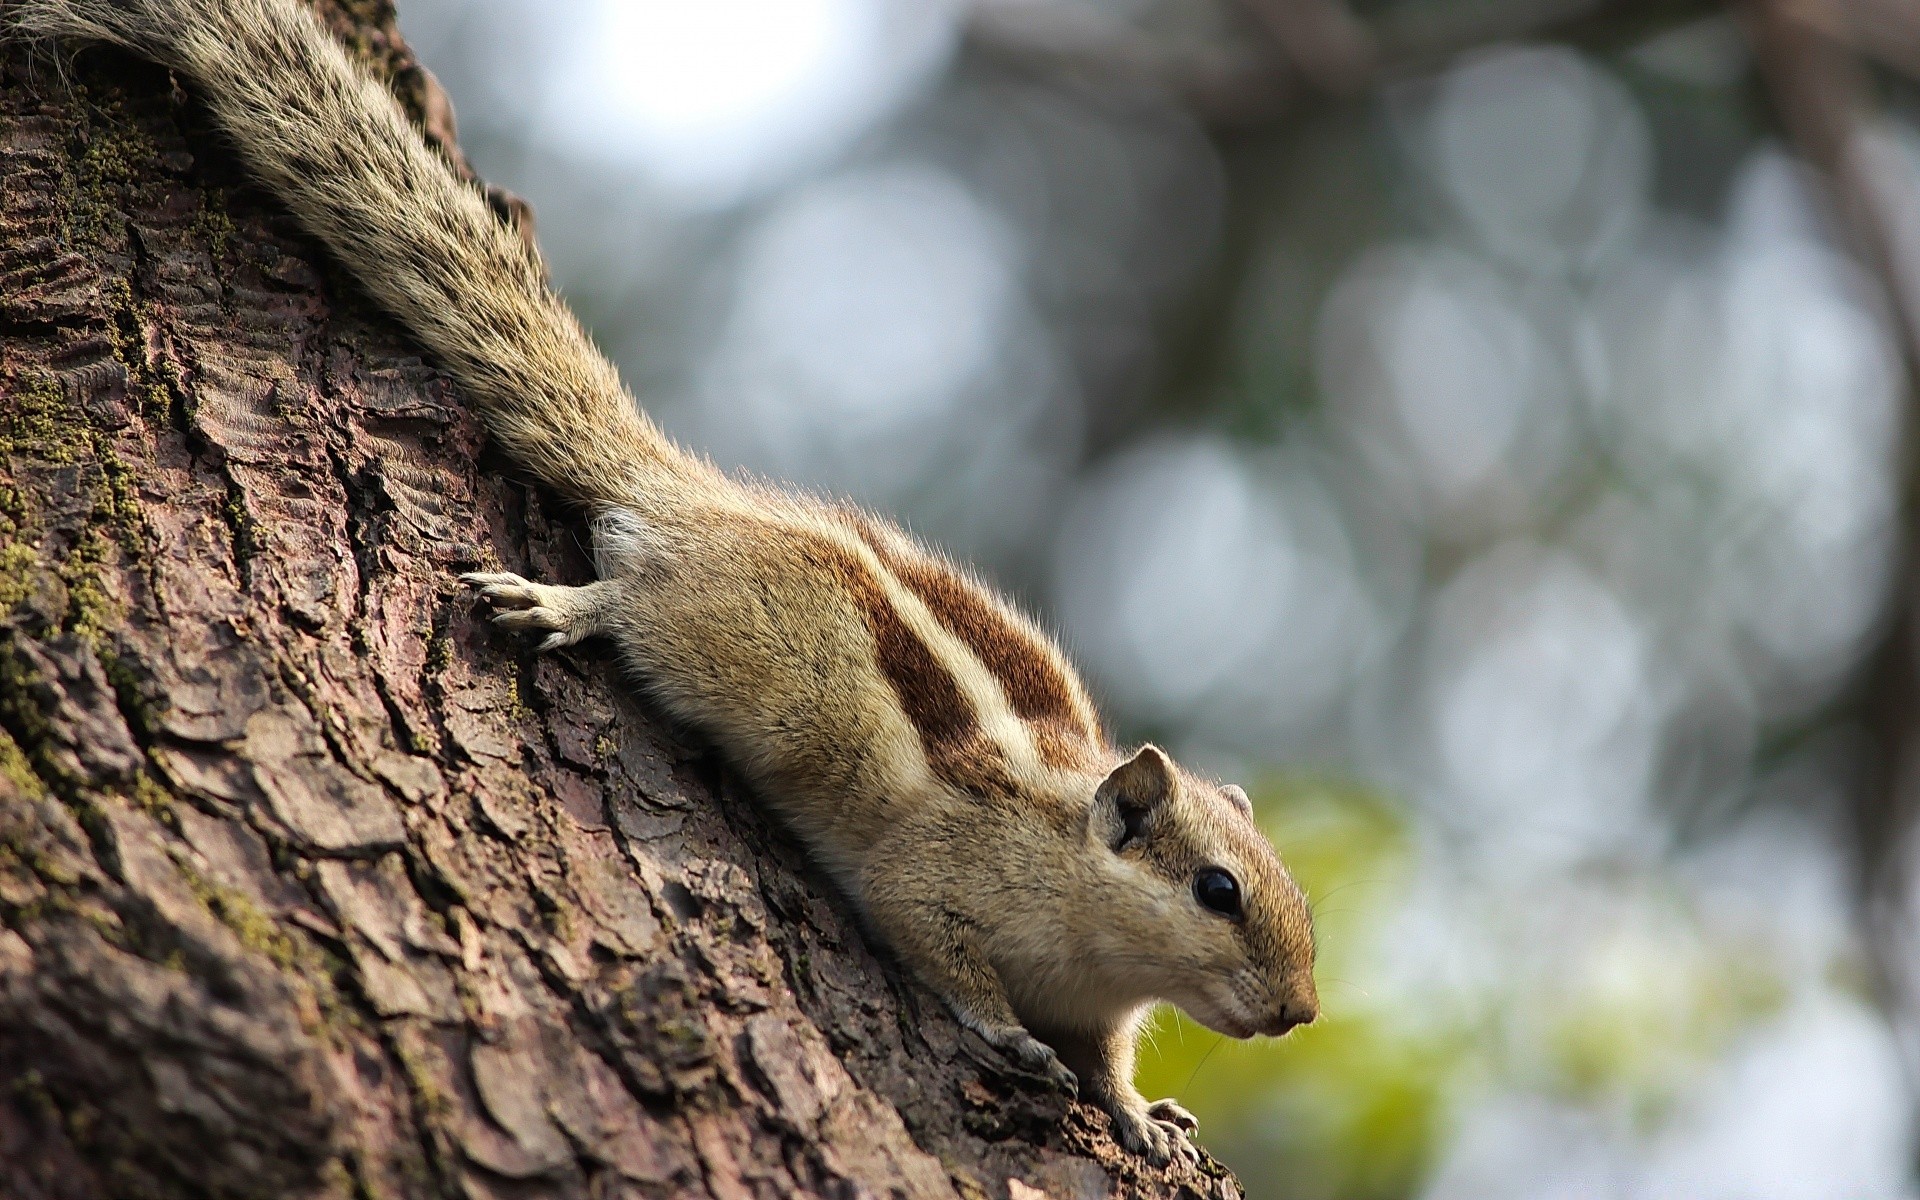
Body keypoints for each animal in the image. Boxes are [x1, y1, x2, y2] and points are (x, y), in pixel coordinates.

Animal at [7, 0, 1320, 1167]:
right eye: (1216, 890)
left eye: (1289, 897)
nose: (1301, 1013)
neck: (1084, 902)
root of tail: (694, 499)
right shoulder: (936, 881)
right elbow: (945, 958)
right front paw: (1003, 1034)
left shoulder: (1103, 1009)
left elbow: (1108, 1065)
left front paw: (1139, 1117)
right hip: (720, 637)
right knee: (637, 596)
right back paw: (566, 605)